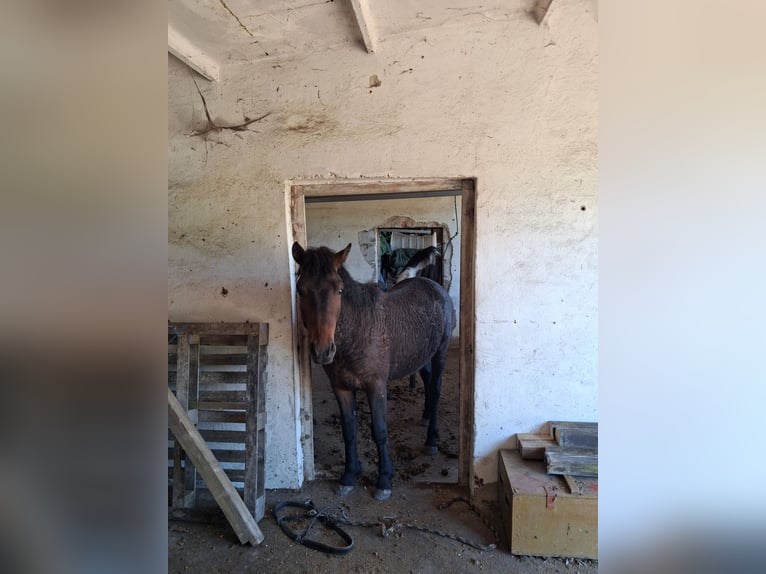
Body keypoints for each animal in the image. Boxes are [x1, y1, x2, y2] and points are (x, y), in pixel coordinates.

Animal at [292, 242, 455, 501]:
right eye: (300, 290)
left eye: (339, 290)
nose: (322, 350)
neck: (357, 331)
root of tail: (433, 286)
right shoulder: (341, 388)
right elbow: (349, 431)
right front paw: (349, 475)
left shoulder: (376, 387)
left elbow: (379, 431)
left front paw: (384, 480)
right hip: (421, 356)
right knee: (428, 383)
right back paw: (426, 415)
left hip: (441, 351)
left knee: (437, 389)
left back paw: (431, 440)